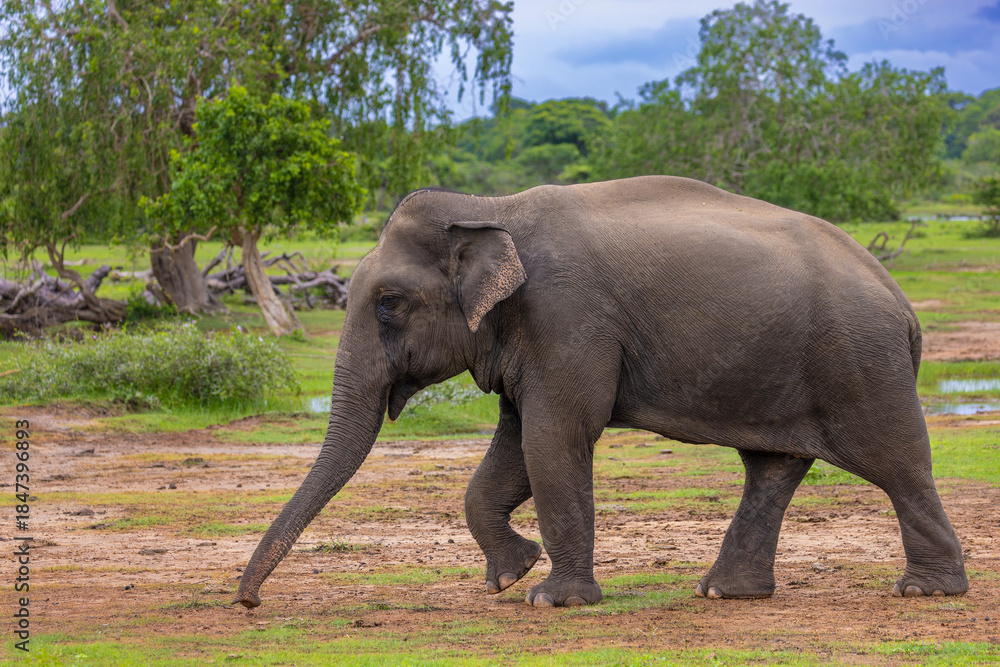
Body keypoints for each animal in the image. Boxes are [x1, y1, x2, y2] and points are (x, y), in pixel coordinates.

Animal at [233, 175, 968, 609]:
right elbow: (514, 446)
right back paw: (724, 593)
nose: (248, 602)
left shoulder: (566, 316)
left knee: (897, 460)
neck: (490, 209)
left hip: (860, 359)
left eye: (388, 305)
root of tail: (902, 301)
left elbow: (554, 437)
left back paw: (925, 591)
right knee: (772, 467)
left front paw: (551, 598)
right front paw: (512, 574)